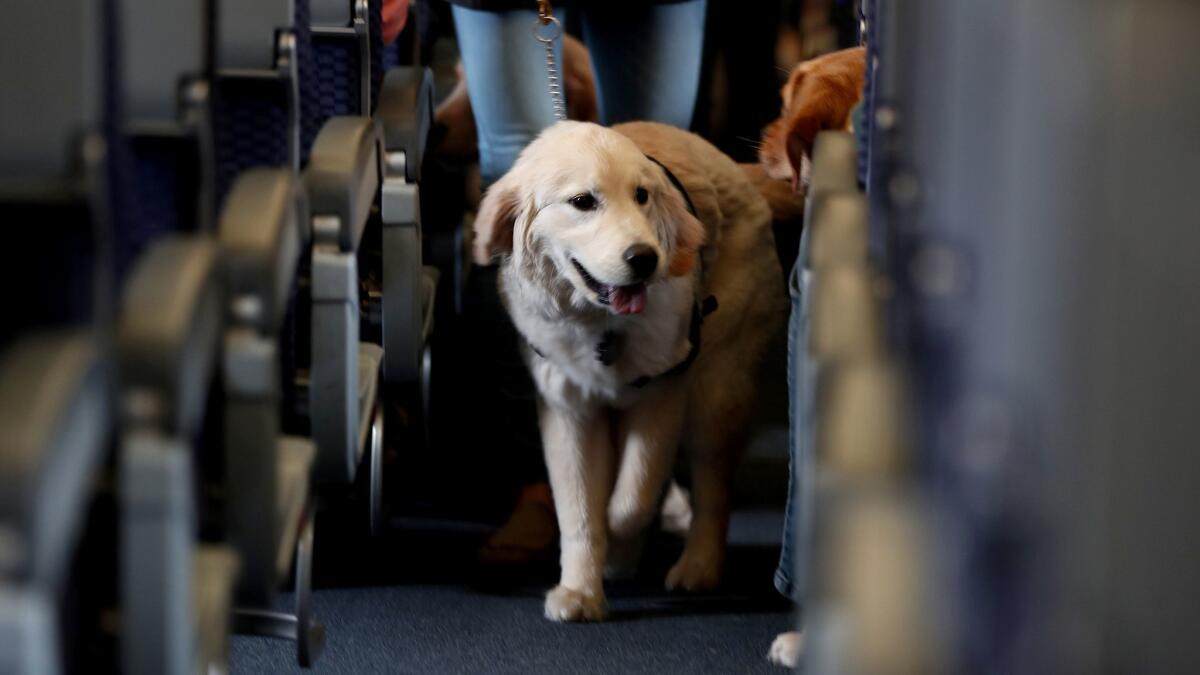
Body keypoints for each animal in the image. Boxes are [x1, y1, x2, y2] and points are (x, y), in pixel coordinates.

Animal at [468, 120, 787, 619]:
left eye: (642, 196)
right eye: (583, 201)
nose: (645, 258)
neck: (602, 325)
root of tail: (735, 168)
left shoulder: (663, 393)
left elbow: (633, 496)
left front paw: (618, 539)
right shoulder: (567, 409)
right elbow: (579, 509)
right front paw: (580, 591)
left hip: (717, 391)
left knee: (713, 490)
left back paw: (697, 567)